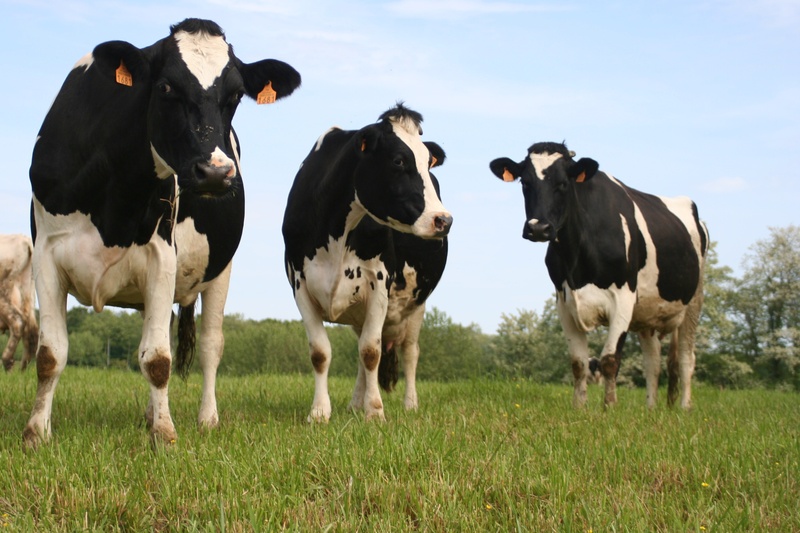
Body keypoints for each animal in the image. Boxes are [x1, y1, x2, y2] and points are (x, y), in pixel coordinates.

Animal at [0, 234, 38, 371]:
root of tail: (23, 239)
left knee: (17, 321)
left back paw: (7, 362)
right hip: (28, 287)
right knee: (31, 330)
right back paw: (22, 370)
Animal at [25, 18, 301, 447]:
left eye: (236, 94)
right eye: (167, 86)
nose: (216, 172)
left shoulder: (161, 256)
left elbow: (157, 359)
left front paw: (165, 435)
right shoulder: (46, 256)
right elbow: (50, 354)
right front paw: (37, 432)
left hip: (221, 270)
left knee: (210, 346)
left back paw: (206, 418)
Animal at [283, 104, 452, 423]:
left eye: (428, 162)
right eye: (398, 160)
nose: (443, 220)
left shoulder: (379, 285)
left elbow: (371, 352)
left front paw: (375, 412)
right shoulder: (300, 284)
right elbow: (321, 352)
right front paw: (320, 412)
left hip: (417, 305)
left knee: (410, 353)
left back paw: (409, 404)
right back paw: (354, 404)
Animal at [490, 142, 708, 410]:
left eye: (564, 183)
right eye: (524, 182)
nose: (538, 228)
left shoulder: (623, 298)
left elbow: (609, 360)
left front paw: (609, 408)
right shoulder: (564, 301)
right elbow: (578, 362)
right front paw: (579, 407)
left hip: (694, 300)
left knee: (686, 358)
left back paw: (685, 407)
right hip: (648, 314)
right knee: (653, 361)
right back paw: (650, 409)